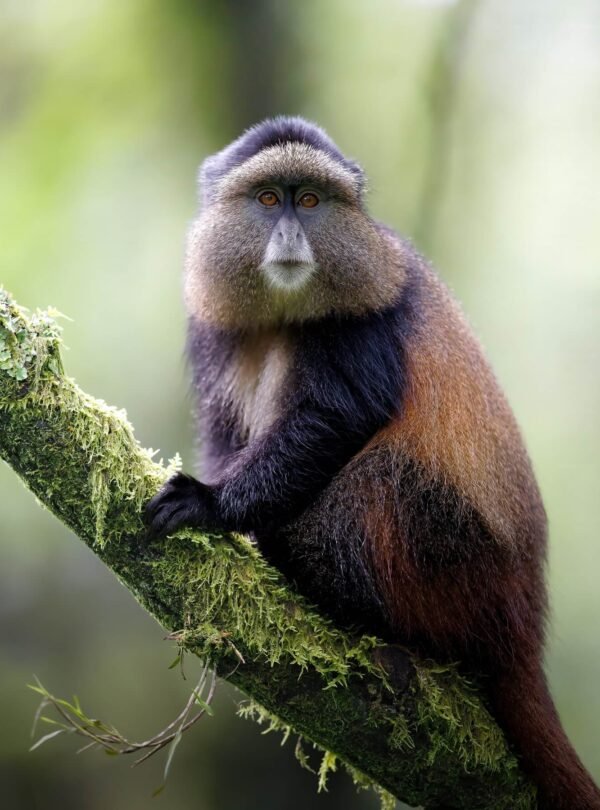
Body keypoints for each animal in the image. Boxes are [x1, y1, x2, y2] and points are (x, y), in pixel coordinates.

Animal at [144, 116, 600, 809]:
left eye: (309, 201)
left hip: (449, 555)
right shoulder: (211, 331)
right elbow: (226, 434)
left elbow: (336, 418)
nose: (290, 234)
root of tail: (521, 627)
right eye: (269, 200)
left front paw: (210, 504)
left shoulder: (359, 320)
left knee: (377, 487)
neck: (283, 316)